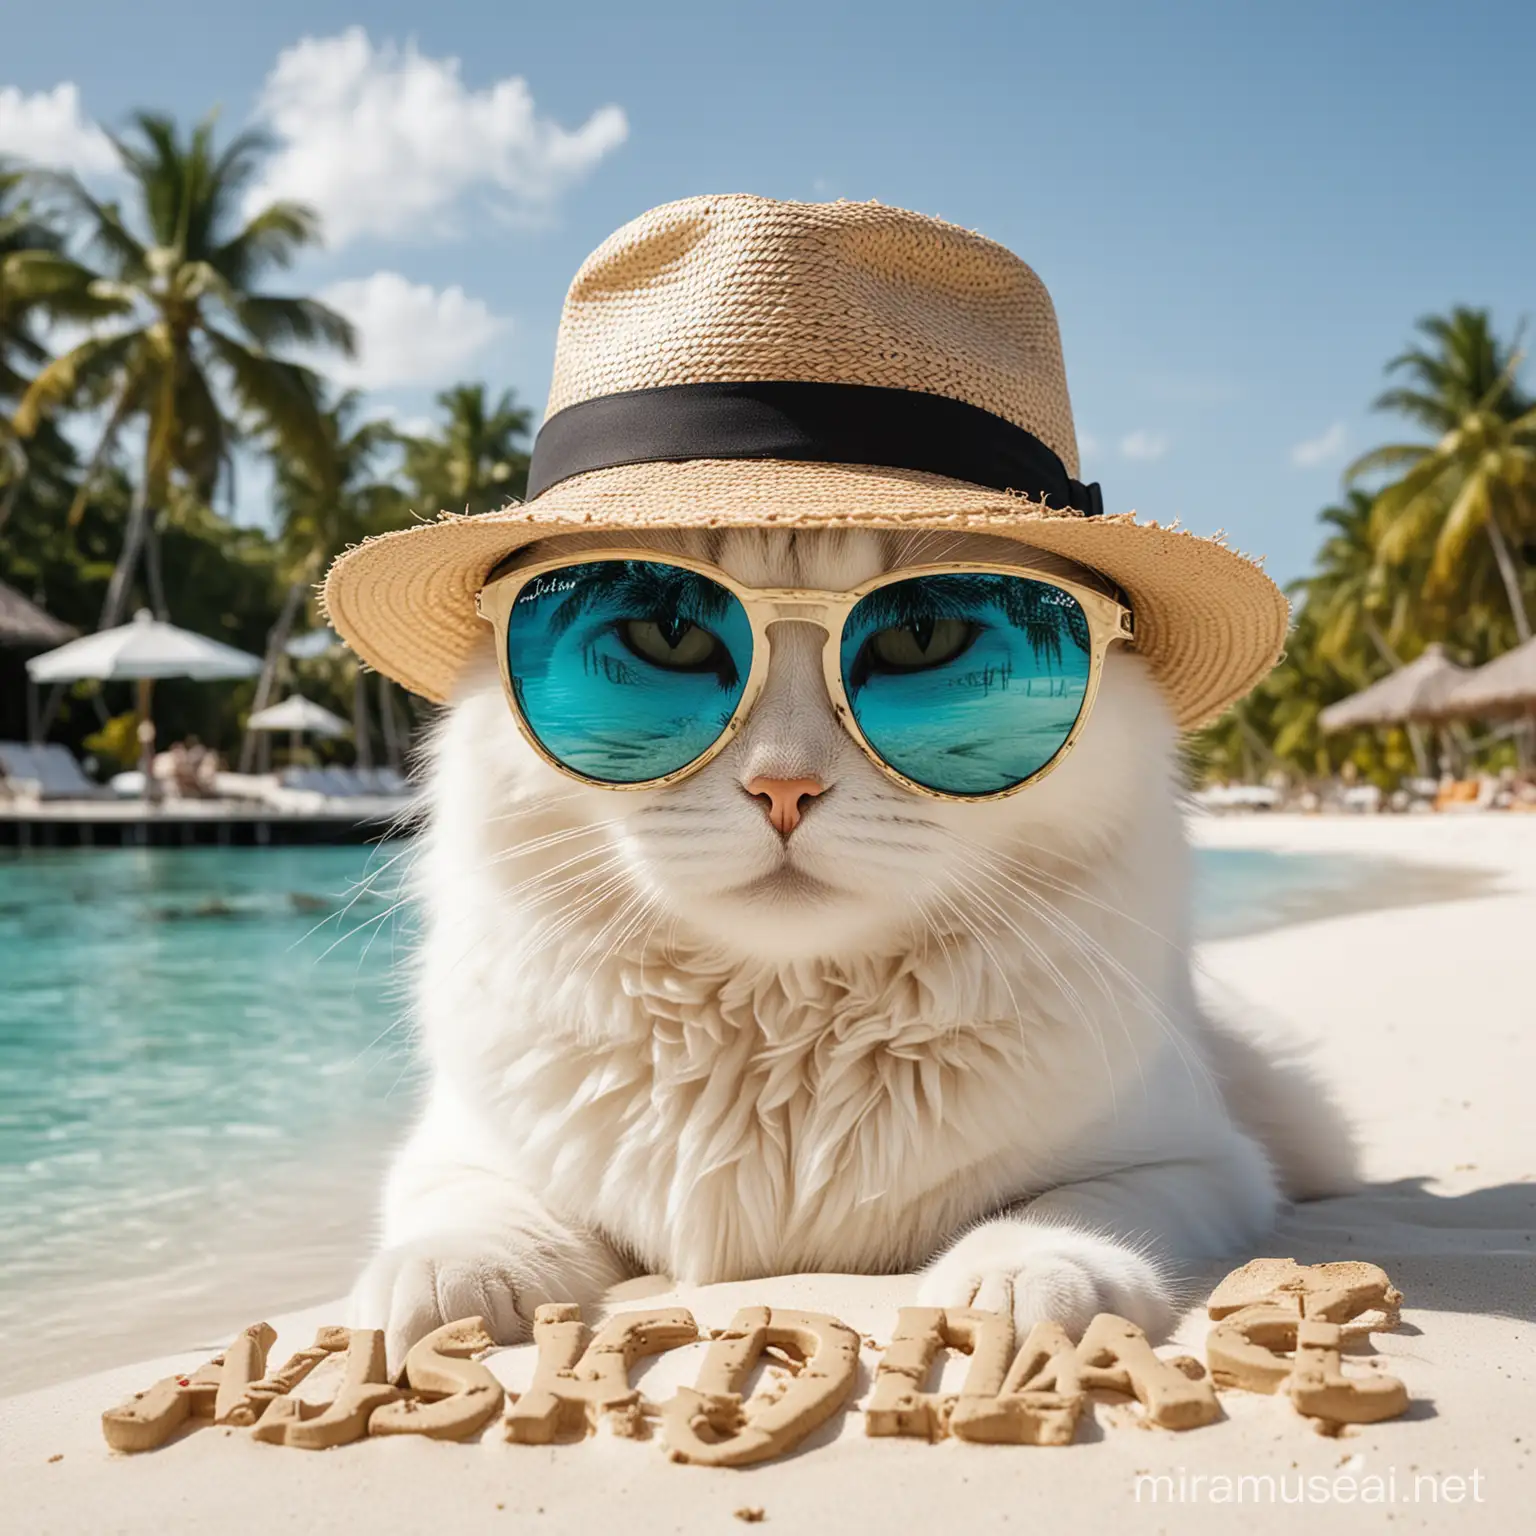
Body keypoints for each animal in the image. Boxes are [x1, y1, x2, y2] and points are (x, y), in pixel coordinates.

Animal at [351, 528, 1357, 1370]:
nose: (783, 789)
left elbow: (1064, 1213)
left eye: (920, 639)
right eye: (668, 635)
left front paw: (1020, 1286)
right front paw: (440, 1290)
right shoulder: (460, 1149)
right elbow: (472, 1217)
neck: (784, 1042)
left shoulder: (1197, 1164)